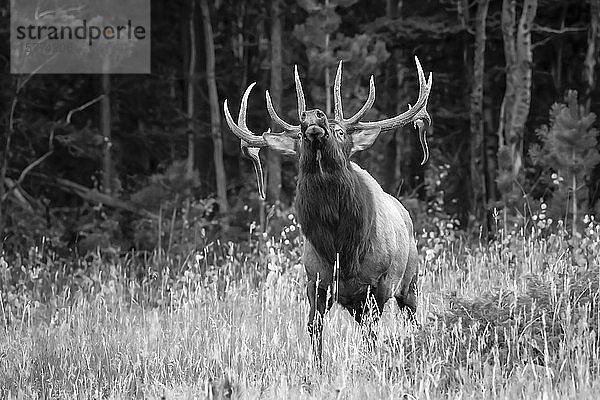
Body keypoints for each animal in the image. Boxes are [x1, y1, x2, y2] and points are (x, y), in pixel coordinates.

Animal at [224, 57, 432, 362]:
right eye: (300, 135)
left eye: (341, 131)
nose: (312, 116)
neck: (341, 249)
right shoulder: (316, 282)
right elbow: (314, 327)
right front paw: (318, 366)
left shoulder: (379, 284)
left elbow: (372, 333)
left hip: (410, 280)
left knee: (413, 317)